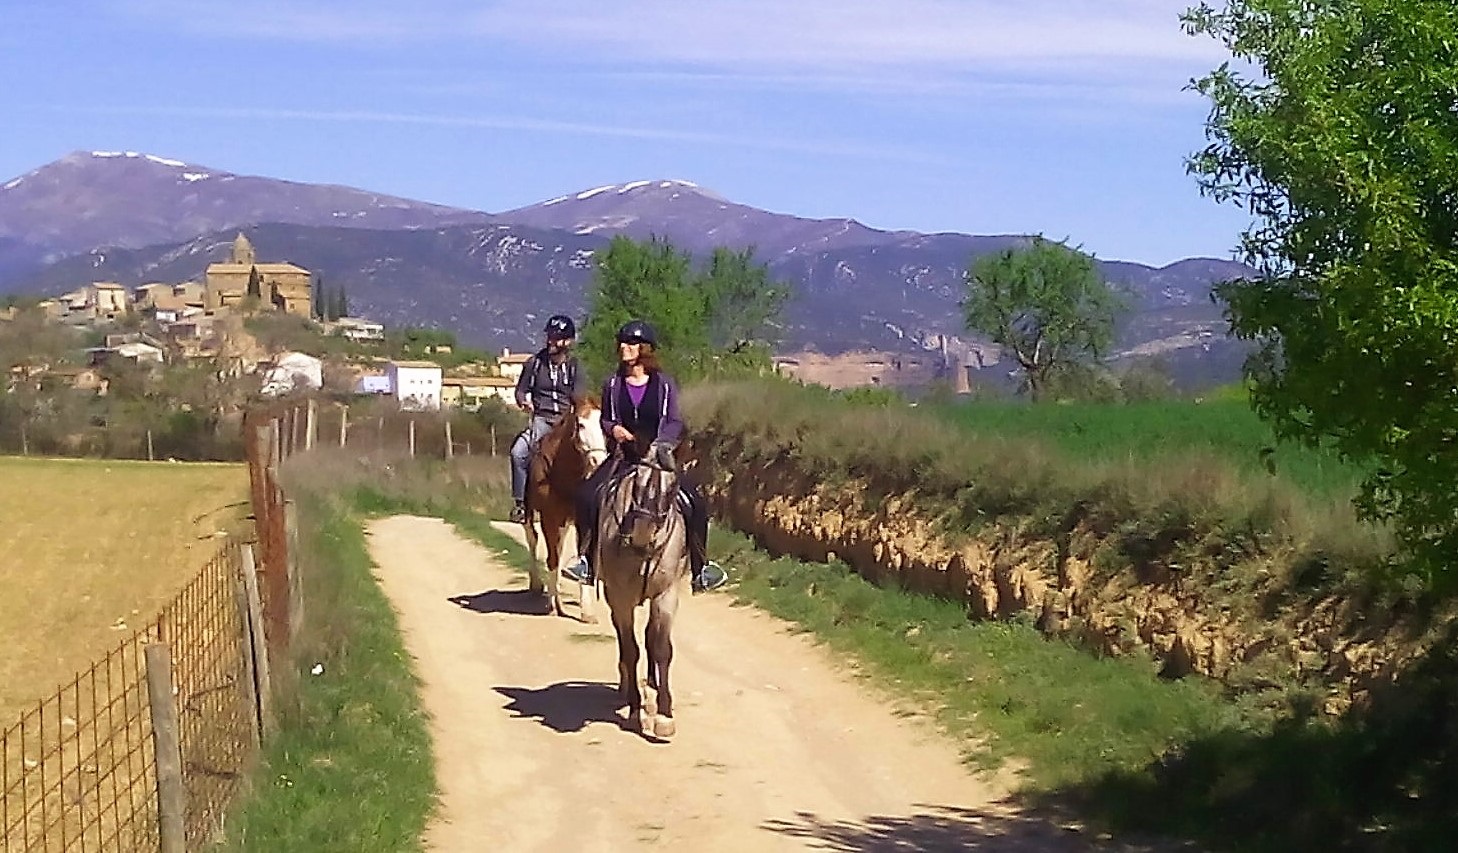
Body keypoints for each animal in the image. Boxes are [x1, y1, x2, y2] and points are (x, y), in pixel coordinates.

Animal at [521, 396, 606, 615]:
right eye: (581, 425)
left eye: (603, 425)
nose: (598, 460)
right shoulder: (549, 518)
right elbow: (552, 557)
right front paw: (552, 603)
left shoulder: (580, 521)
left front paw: (587, 611)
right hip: (530, 513)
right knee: (533, 540)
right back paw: (537, 584)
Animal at [591, 452, 688, 737]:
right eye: (636, 482)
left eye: (672, 488)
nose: (642, 532)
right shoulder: (621, 599)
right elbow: (630, 650)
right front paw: (635, 711)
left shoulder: (666, 595)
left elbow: (662, 648)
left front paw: (665, 716)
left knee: (650, 636)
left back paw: (652, 689)